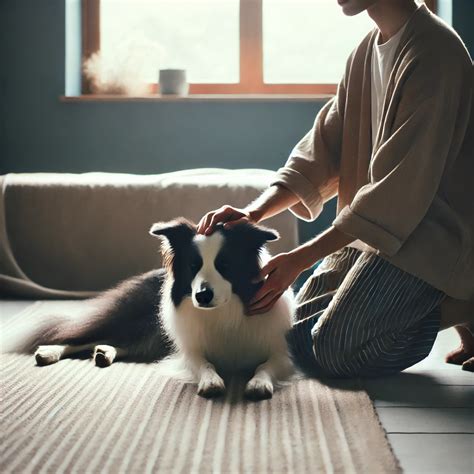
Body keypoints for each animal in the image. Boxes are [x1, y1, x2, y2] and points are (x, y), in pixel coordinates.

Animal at [30, 218, 296, 400]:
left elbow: (264, 365)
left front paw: (259, 383)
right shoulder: (190, 350)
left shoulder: (280, 352)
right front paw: (211, 381)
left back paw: (105, 352)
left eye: (226, 265)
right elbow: (205, 364)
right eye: (192, 266)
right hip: (134, 320)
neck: (223, 311)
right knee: (83, 336)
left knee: (128, 343)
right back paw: (50, 351)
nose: (202, 295)